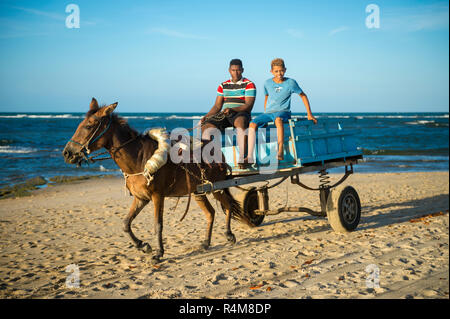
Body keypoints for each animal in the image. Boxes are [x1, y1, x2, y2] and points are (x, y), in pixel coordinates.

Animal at [62, 99, 244, 264]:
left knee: (227, 205)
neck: (139, 158)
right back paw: (206, 243)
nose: (67, 153)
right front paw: (143, 246)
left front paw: (158, 253)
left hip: (217, 187)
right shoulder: (141, 198)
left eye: (89, 126)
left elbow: (158, 224)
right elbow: (126, 223)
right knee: (210, 213)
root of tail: (218, 152)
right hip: (198, 191)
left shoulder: (157, 196)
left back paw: (229, 235)